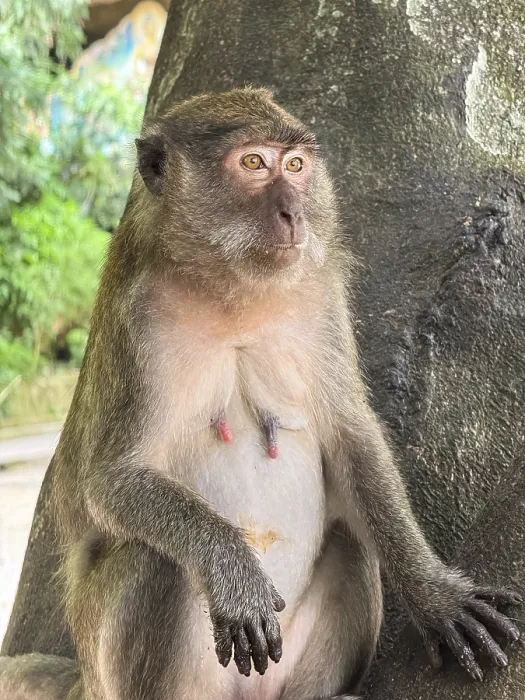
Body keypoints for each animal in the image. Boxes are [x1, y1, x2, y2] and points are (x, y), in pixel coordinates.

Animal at [0, 87, 521, 700]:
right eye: (253, 163)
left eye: (294, 166)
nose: (294, 211)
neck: (232, 294)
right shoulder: (137, 319)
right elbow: (112, 480)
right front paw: (233, 570)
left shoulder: (321, 297)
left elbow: (351, 438)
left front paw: (434, 593)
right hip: (115, 665)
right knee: (159, 562)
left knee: (350, 544)